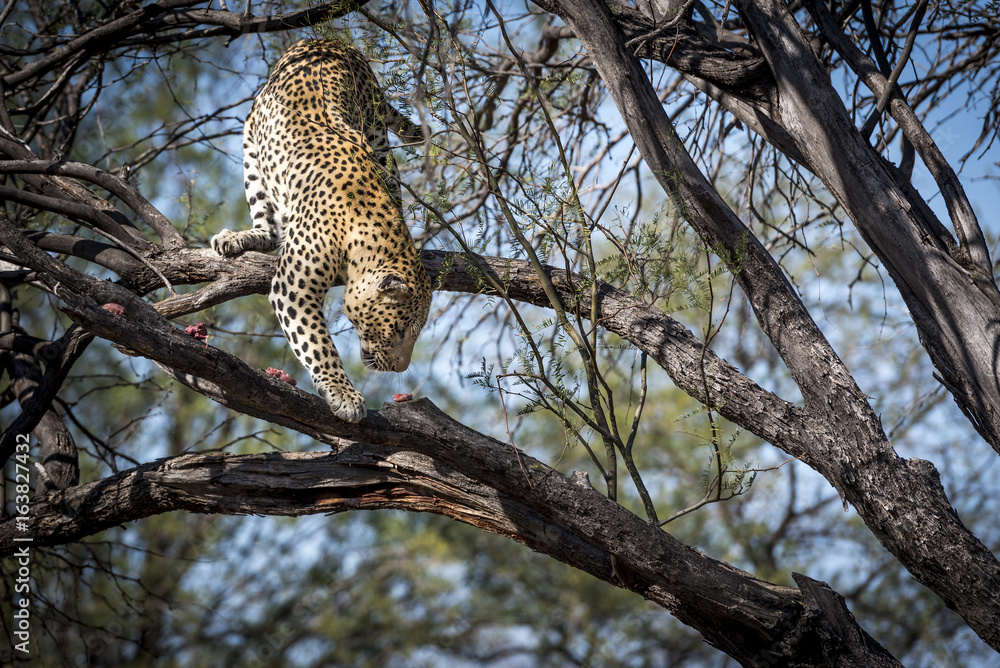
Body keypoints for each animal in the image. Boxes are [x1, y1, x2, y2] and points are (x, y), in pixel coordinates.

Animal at [211, 39, 431, 423]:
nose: (400, 368)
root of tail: (324, 40)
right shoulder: (293, 289)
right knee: (266, 225)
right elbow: (316, 343)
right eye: (401, 329)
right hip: (251, 148)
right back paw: (237, 238)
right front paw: (344, 395)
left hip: (376, 127)